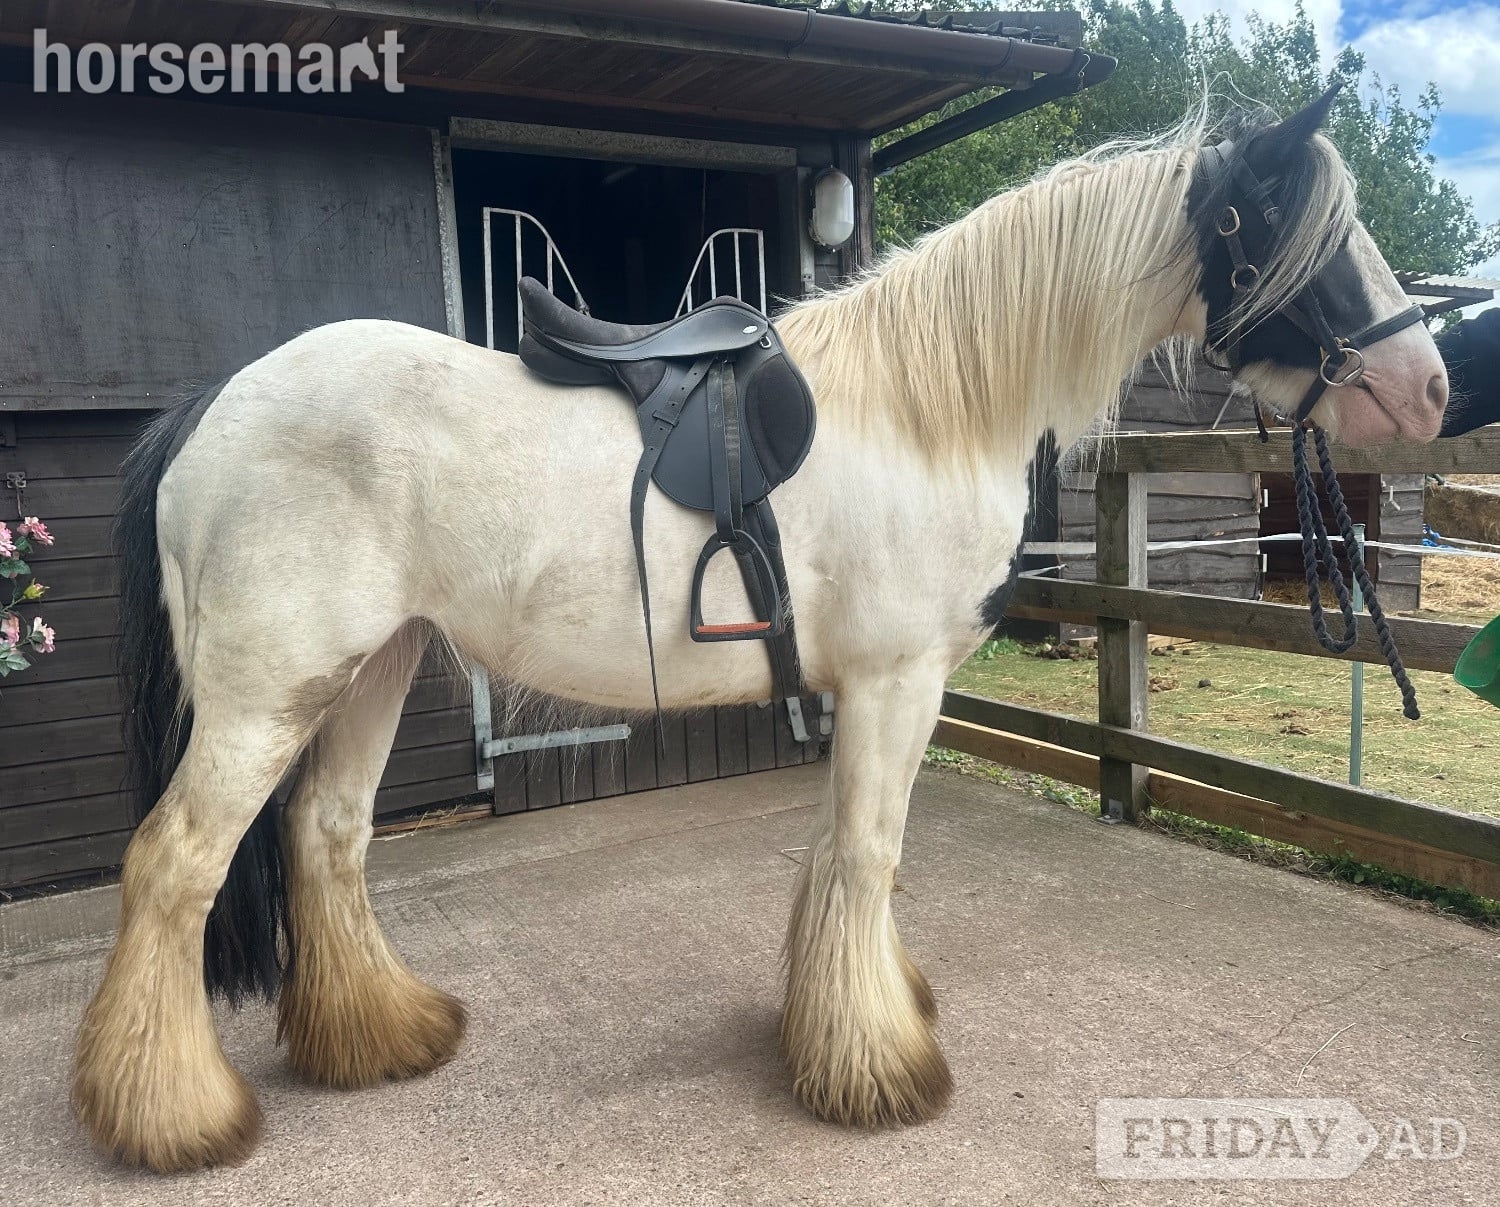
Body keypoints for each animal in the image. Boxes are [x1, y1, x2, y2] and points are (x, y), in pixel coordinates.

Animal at [74, 88, 1447, 1172]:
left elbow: (843, 857)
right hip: (266, 696)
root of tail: (214, 405)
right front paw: (879, 1067)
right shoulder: (896, 681)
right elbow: (869, 855)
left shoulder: (868, 689)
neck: (925, 405)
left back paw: (381, 1038)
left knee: (328, 838)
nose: (1431, 388)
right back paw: (174, 1119)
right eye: (1309, 236)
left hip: (371, 668)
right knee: (175, 866)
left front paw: (856, 1019)